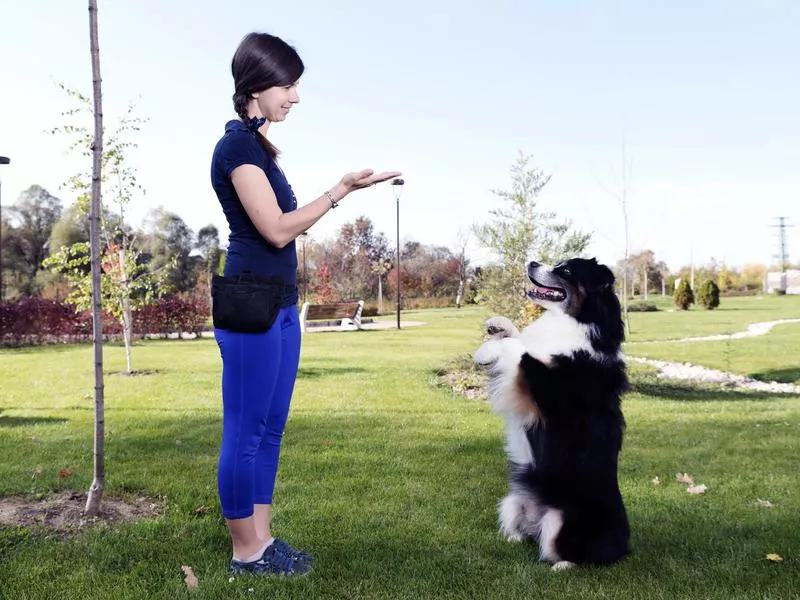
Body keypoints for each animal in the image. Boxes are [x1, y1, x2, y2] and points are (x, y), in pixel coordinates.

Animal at [472, 255, 628, 568]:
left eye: (565, 270)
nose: (532, 262)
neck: (578, 321)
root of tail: (623, 545)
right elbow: (519, 337)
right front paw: (496, 329)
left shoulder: (546, 389)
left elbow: (523, 351)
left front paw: (487, 350)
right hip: (512, 501)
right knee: (529, 535)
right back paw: (515, 538)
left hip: (563, 519)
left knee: (574, 552)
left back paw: (562, 565)